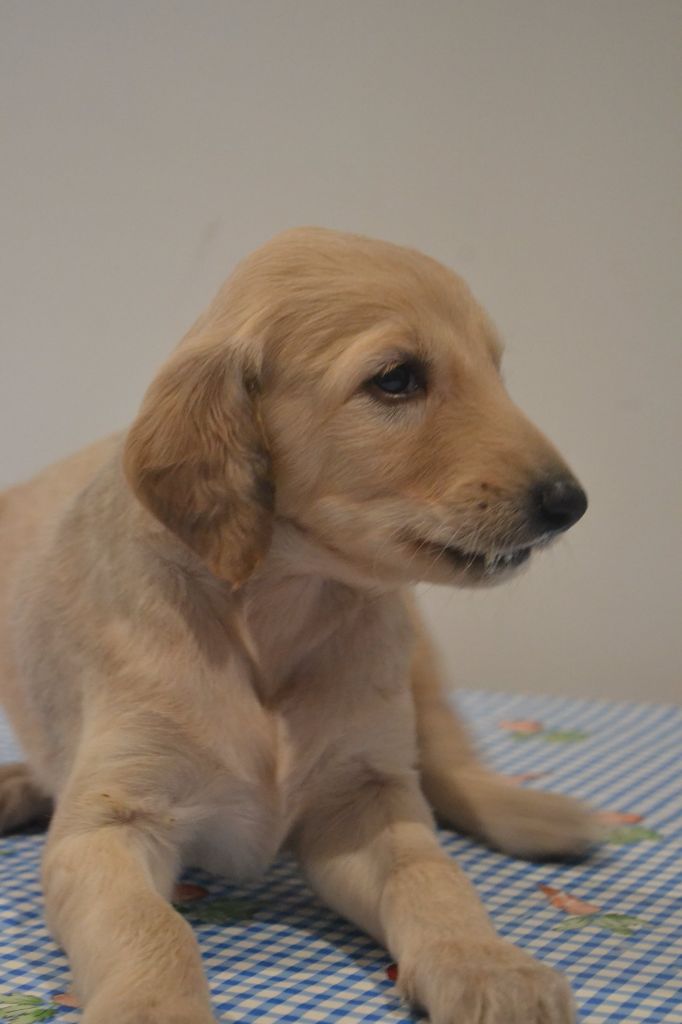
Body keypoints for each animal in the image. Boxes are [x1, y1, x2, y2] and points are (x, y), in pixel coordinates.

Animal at [0, 228, 593, 1023]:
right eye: (397, 379)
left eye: (495, 371)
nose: (570, 503)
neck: (276, 609)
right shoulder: (108, 823)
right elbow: (152, 926)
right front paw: (154, 1007)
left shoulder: (366, 800)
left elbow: (433, 877)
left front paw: (485, 963)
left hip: (419, 670)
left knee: (449, 766)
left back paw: (544, 815)